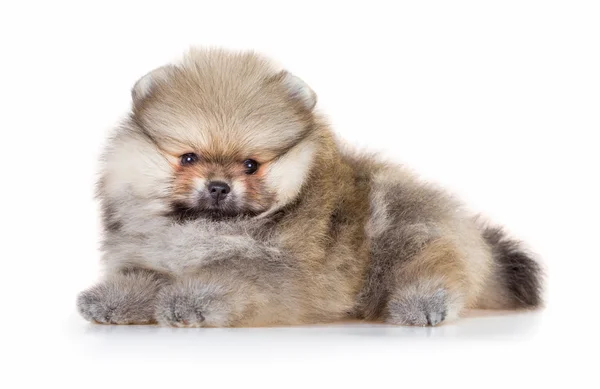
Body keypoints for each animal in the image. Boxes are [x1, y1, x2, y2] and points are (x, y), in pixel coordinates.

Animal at [76, 48, 544, 328]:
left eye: (251, 165)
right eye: (188, 158)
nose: (219, 187)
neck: (203, 229)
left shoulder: (277, 271)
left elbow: (227, 278)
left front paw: (188, 301)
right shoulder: (148, 256)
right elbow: (145, 277)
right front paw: (115, 299)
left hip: (412, 234)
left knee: (437, 267)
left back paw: (423, 303)